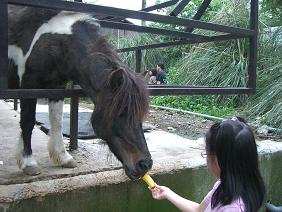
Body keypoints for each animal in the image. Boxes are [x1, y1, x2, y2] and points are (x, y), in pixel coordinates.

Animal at [7, 4, 152, 179]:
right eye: (121, 112)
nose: (145, 164)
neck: (57, 42)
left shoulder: (57, 86)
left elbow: (56, 121)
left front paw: (62, 157)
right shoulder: (29, 85)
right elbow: (27, 122)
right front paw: (28, 162)